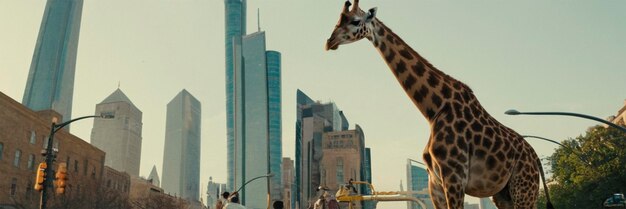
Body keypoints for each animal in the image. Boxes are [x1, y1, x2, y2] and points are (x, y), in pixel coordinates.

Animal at [324, 0, 552, 208]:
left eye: (355, 21)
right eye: (338, 19)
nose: (329, 41)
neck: (434, 109)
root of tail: (535, 158)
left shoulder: (454, 177)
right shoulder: (435, 183)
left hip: (524, 188)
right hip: (503, 193)